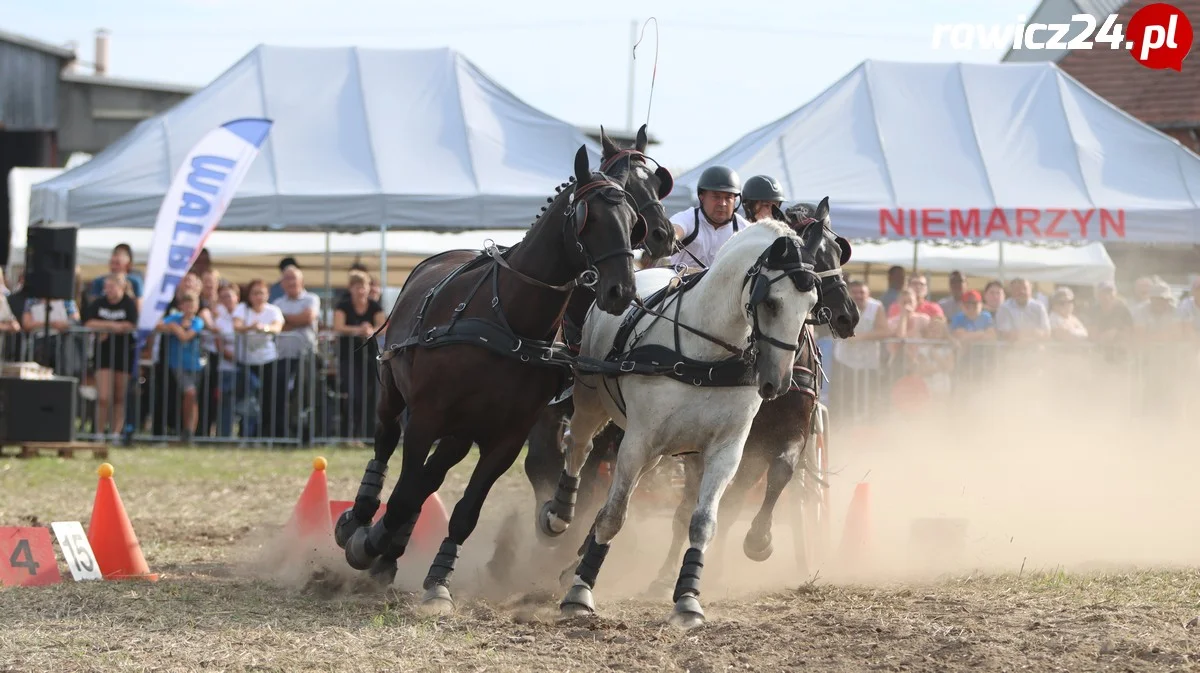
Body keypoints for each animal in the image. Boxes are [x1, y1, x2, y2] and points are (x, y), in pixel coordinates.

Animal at [338, 133, 676, 611]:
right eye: (589, 219)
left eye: (633, 220)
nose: (621, 289)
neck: (509, 319)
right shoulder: (427, 418)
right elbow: (405, 494)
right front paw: (370, 545)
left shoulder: (508, 435)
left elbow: (463, 510)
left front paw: (436, 580)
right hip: (394, 393)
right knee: (387, 445)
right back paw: (360, 521)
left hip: (465, 430)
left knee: (432, 474)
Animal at [542, 219, 816, 628]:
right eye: (771, 302)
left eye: (811, 305)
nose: (779, 382)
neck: (707, 354)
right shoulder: (638, 440)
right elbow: (614, 516)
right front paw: (580, 592)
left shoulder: (726, 450)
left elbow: (702, 522)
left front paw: (688, 598)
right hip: (593, 401)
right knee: (579, 446)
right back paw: (560, 515)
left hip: (660, 451)